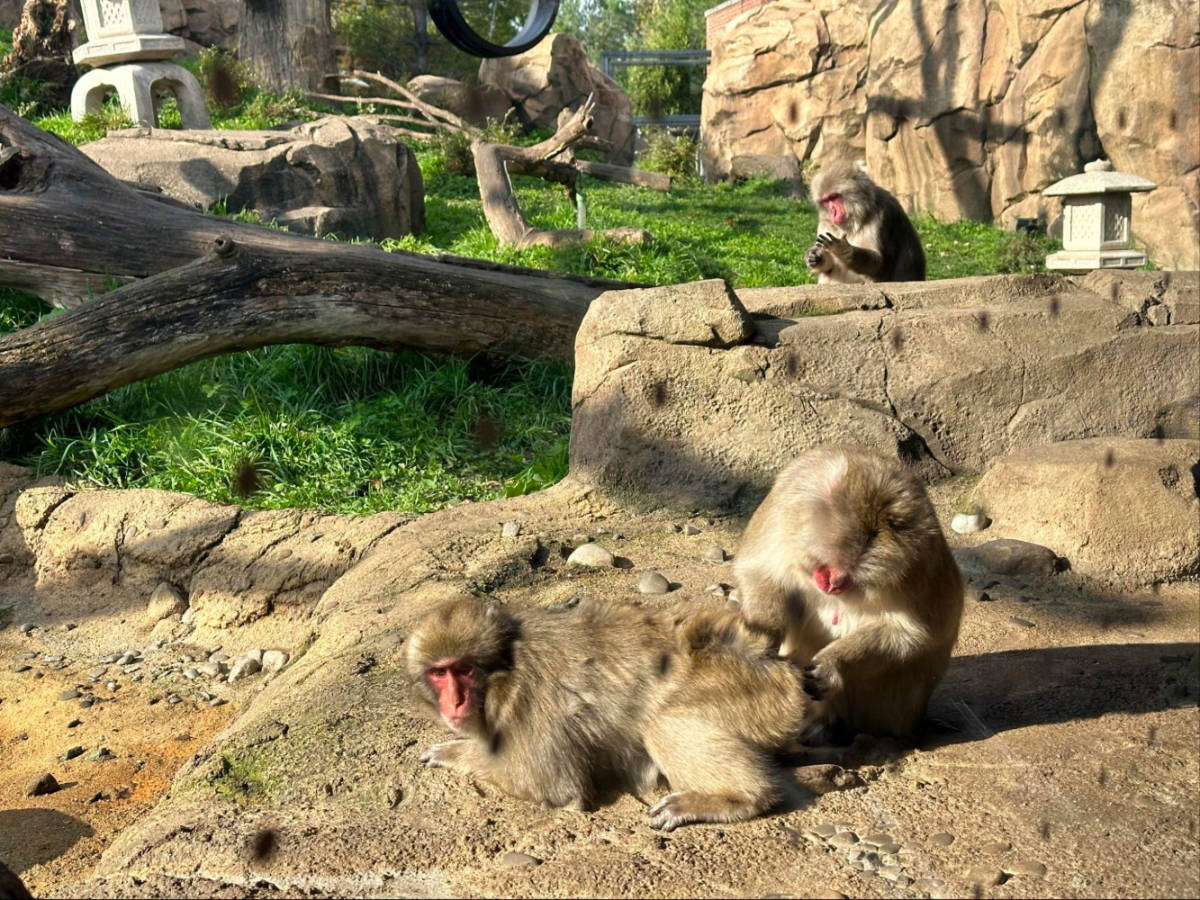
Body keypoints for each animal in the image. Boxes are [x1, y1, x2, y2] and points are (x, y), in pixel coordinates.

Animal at [406, 596, 809, 831]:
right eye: (439, 673)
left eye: (463, 670)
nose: (454, 703)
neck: (506, 667)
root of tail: (774, 663)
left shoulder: (528, 696)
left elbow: (551, 786)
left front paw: (456, 751)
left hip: (749, 692)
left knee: (661, 724)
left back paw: (738, 798)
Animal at [733, 445, 963, 739]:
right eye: (830, 569)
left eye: (849, 577)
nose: (833, 585)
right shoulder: (782, 510)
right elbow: (759, 573)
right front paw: (763, 636)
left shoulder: (918, 561)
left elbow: (909, 634)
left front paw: (831, 663)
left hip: (889, 710)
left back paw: (829, 726)